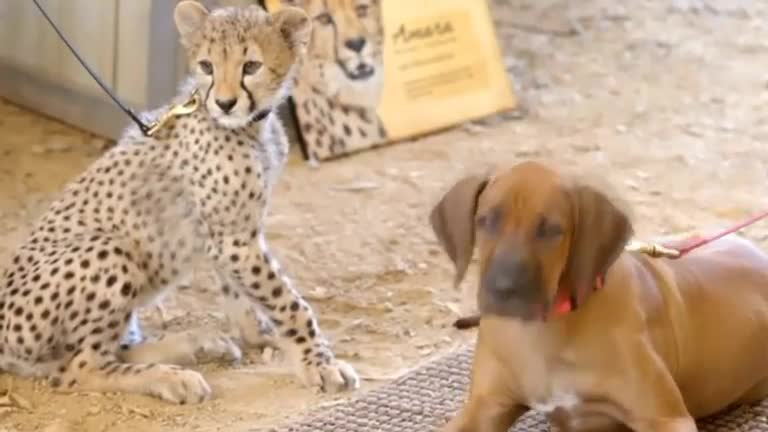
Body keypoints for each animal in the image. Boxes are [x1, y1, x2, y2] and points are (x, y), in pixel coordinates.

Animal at [428, 161, 768, 432]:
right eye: (485, 221)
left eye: (552, 230)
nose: (503, 289)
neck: (544, 330)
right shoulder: (486, 407)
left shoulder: (665, 418)